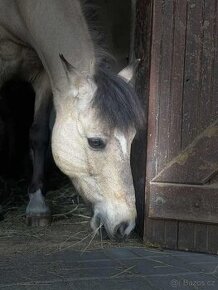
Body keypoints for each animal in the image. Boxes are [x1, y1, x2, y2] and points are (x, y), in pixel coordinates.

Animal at [0, 0, 144, 240]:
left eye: (133, 139)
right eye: (95, 142)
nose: (125, 226)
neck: (19, 11)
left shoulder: (45, 76)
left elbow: (39, 134)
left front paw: (37, 206)